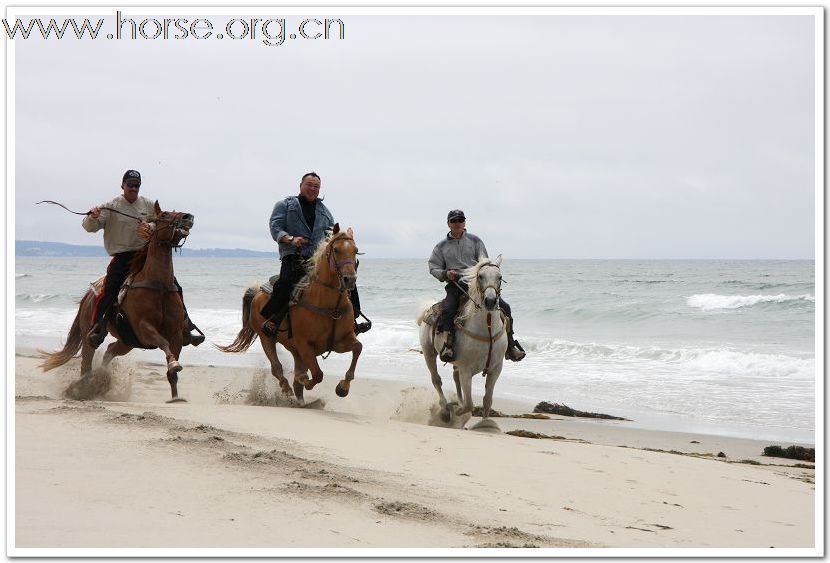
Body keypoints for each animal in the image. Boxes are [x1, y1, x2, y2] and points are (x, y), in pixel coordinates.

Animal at [40, 202, 195, 400]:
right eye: (165, 214)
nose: (188, 217)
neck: (158, 285)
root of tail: (88, 297)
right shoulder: (144, 328)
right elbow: (163, 343)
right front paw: (174, 365)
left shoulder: (176, 333)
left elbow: (171, 367)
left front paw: (175, 397)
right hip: (92, 336)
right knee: (87, 362)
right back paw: (83, 388)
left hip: (127, 342)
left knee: (109, 351)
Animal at [218, 223, 364, 404]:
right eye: (336, 250)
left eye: (355, 250)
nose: (349, 279)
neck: (329, 306)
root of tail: (257, 291)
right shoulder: (305, 345)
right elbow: (317, 374)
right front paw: (303, 379)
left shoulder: (340, 342)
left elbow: (358, 348)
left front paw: (343, 387)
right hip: (266, 338)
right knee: (276, 367)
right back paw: (287, 388)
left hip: (293, 348)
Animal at [416, 256, 508, 432]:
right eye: (480, 276)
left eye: (499, 277)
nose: (490, 301)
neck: (487, 329)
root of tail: (428, 309)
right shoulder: (466, 369)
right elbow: (469, 404)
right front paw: (457, 411)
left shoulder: (496, 368)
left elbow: (487, 400)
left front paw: (486, 424)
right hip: (428, 352)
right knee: (436, 380)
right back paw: (446, 412)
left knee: (454, 377)